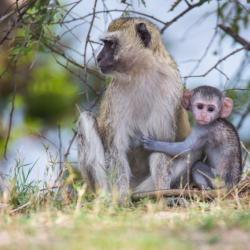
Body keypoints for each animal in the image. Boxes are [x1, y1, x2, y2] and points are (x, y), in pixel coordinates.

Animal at [77, 17, 192, 201]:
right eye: (105, 44)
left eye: (110, 44)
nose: (99, 58)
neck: (142, 72)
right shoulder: (116, 96)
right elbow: (116, 149)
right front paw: (121, 199)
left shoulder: (171, 89)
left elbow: (160, 144)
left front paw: (163, 196)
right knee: (86, 119)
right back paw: (106, 199)